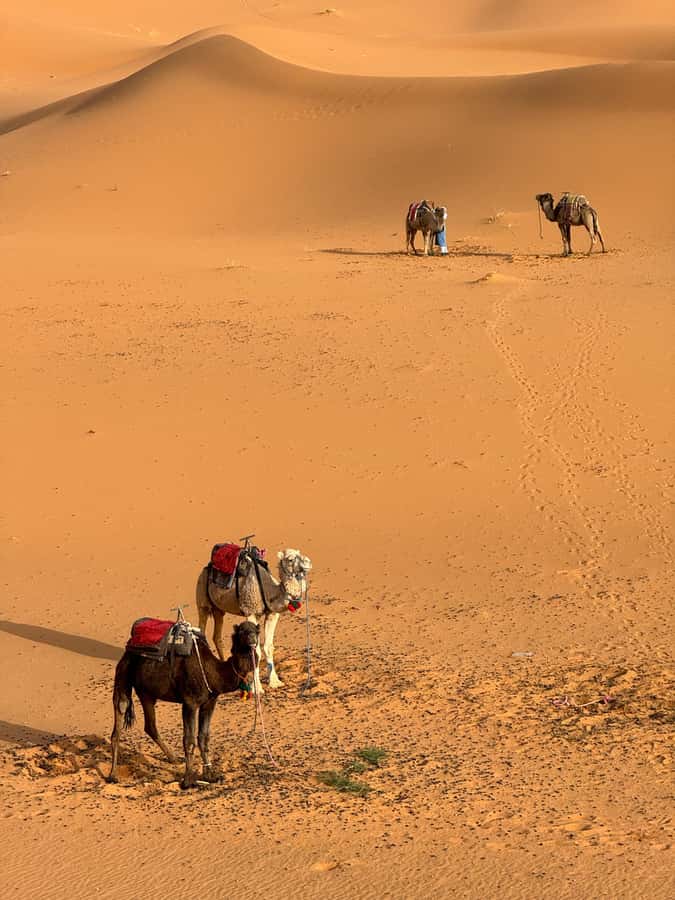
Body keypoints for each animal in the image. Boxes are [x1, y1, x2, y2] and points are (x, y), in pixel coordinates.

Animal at [108, 620, 259, 788]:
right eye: (242, 631)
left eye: (256, 631)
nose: (252, 639)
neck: (212, 672)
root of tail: (128, 649)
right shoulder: (189, 703)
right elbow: (189, 739)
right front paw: (188, 780)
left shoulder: (209, 702)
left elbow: (203, 737)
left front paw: (210, 775)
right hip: (123, 674)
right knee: (120, 711)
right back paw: (113, 775)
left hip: (146, 692)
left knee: (150, 725)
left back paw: (173, 758)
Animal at [196, 547, 312, 693]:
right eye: (290, 559)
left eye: (299, 553)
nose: (308, 562)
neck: (269, 592)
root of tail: (205, 568)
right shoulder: (251, 611)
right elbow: (254, 650)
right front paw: (257, 688)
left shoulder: (272, 614)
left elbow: (268, 647)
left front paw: (275, 682)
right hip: (202, 601)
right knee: (201, 631)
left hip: (218, 609)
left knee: (217, 636)